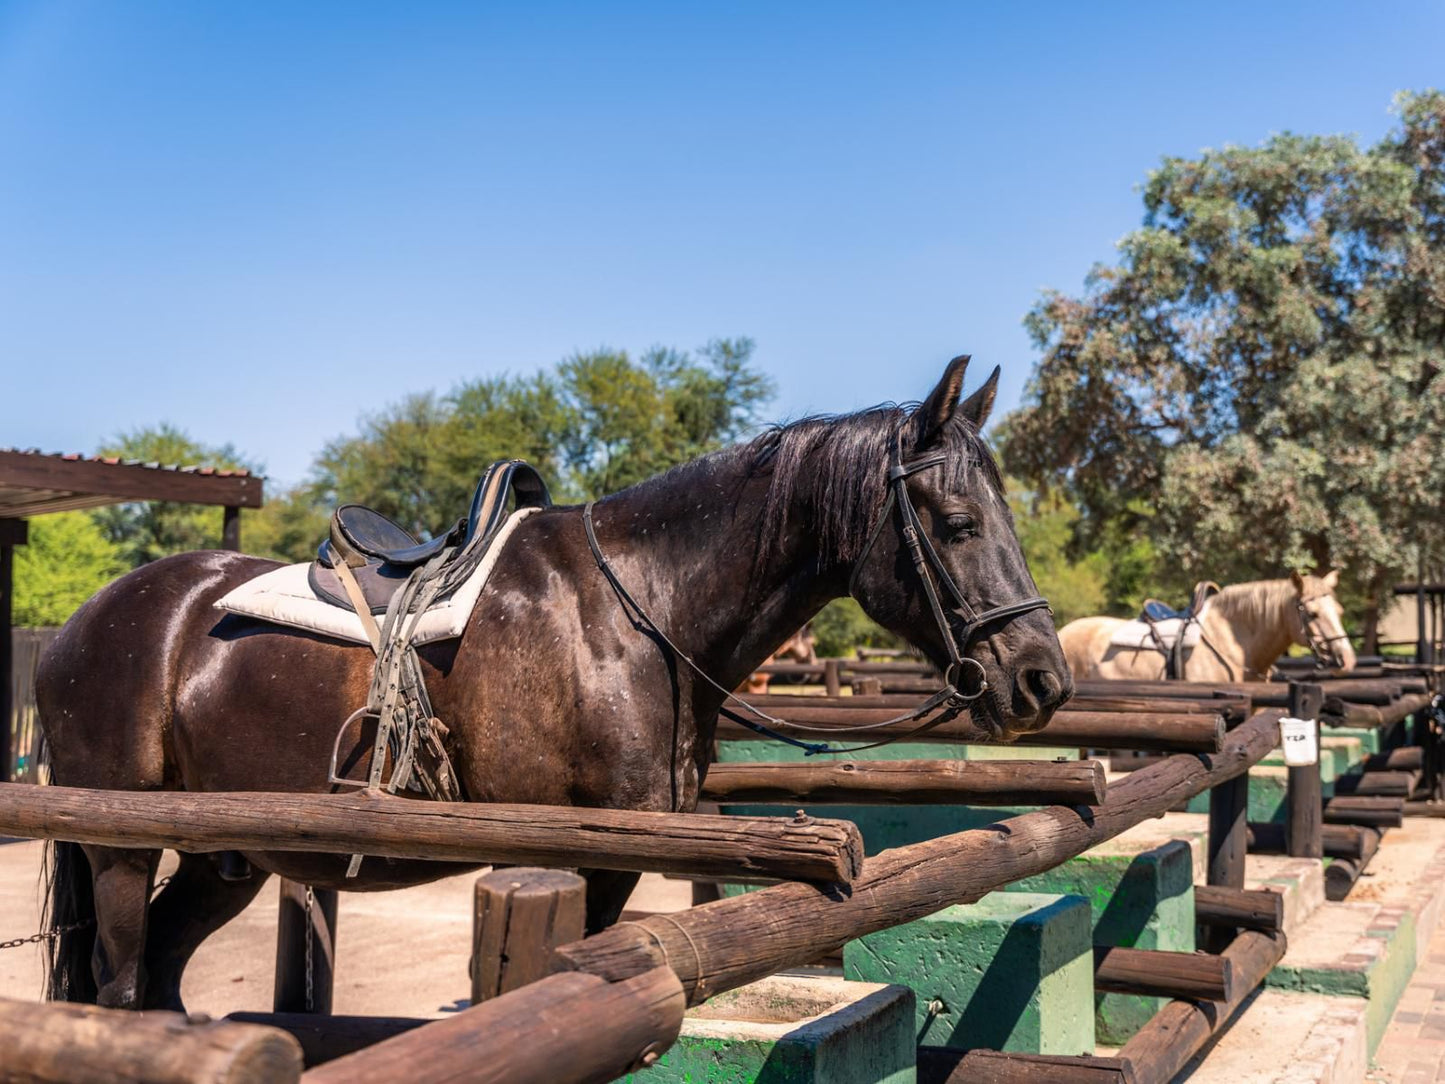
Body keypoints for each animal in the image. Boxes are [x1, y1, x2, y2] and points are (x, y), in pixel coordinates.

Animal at [36, 354, 1075, 1011]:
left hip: (225, 853)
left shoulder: (617, 859)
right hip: (121, 846)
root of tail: (78, 626)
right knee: (119, 989)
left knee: (160, 985)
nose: (1041, 680)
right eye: (955, 523)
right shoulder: (569, 851)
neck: (638, 612)